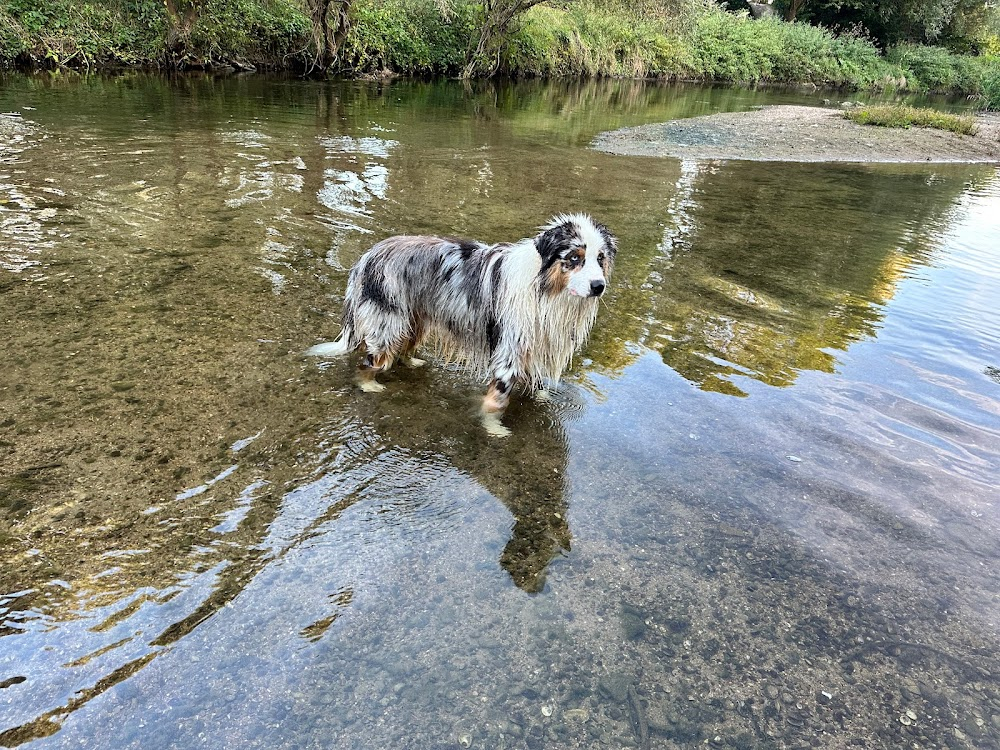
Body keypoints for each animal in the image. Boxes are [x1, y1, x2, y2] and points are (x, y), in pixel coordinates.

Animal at [304, 213, 616, 434]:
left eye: (600, 259)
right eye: (574, 258)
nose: (598, 286)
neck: (545, 289)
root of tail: (367, 257)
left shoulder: (536, 345)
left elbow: (540, 385)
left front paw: (544, 401)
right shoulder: (509, 351)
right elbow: (496, 400)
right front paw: (494, 429)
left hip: (416, 319)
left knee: (405, 346)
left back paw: (412, 362)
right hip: (388, 325)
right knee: (368, 361)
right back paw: (370, 385)